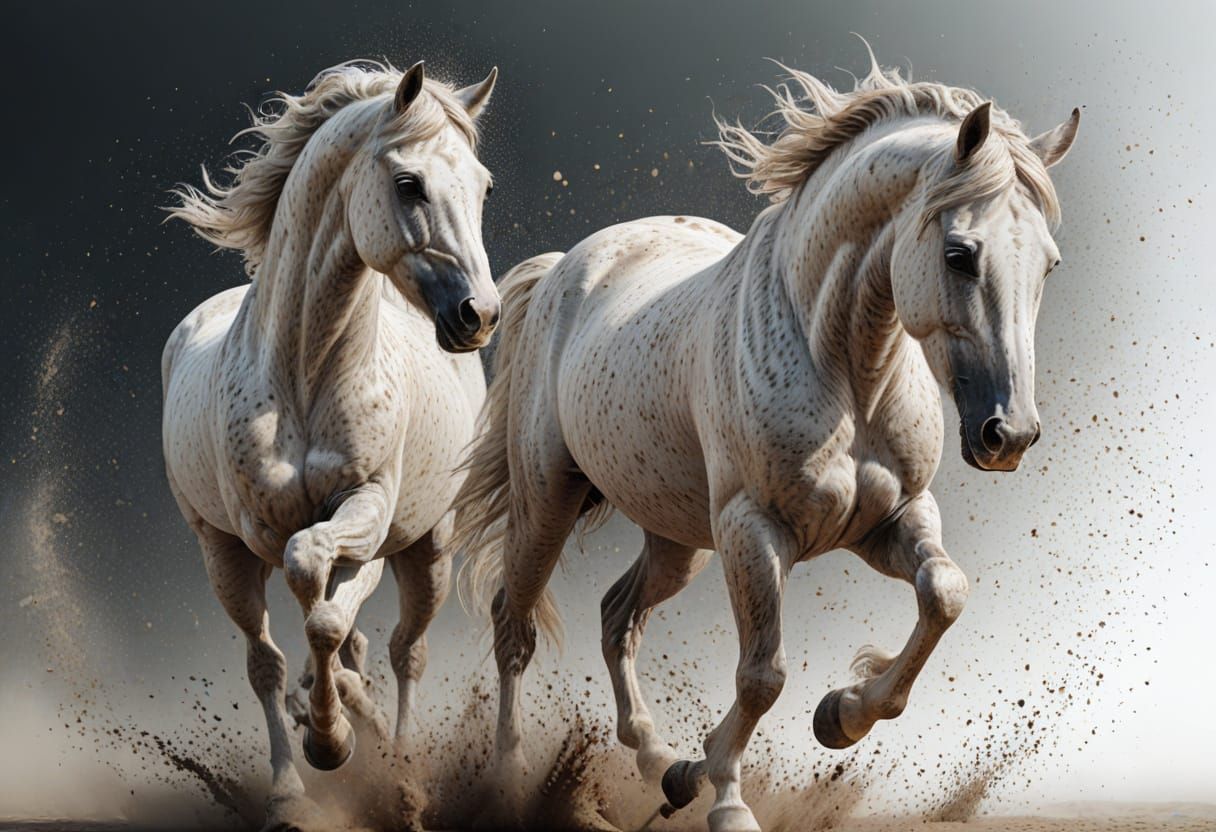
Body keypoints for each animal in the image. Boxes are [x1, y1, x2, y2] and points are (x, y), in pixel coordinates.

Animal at [162, 59, 499, 831]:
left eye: (484, 185)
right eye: (408, 183)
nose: (480, 314)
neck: (306, 370)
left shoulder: (368, 512)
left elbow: (323, 602)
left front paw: (337, 732)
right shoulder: (255, 533)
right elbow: (304, 608)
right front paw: (322, 739)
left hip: (429, 545)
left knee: (405, 650)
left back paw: (397, 768)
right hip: (219, 550)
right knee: (270, 660)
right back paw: (295, 778)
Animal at [453, 57, 1079, 832]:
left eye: (1049, 264)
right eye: (960, 254)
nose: (1008, 434)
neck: (844, 368)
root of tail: (565, 267)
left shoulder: (892, 519)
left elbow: (944, 594)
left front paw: (839, 716)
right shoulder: (753, 530)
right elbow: (762, 674)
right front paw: (726, 798)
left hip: (678, 539)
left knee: (617, 616)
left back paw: (660, 761)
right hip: (550, 500)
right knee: (515, 625)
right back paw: (509, 781)